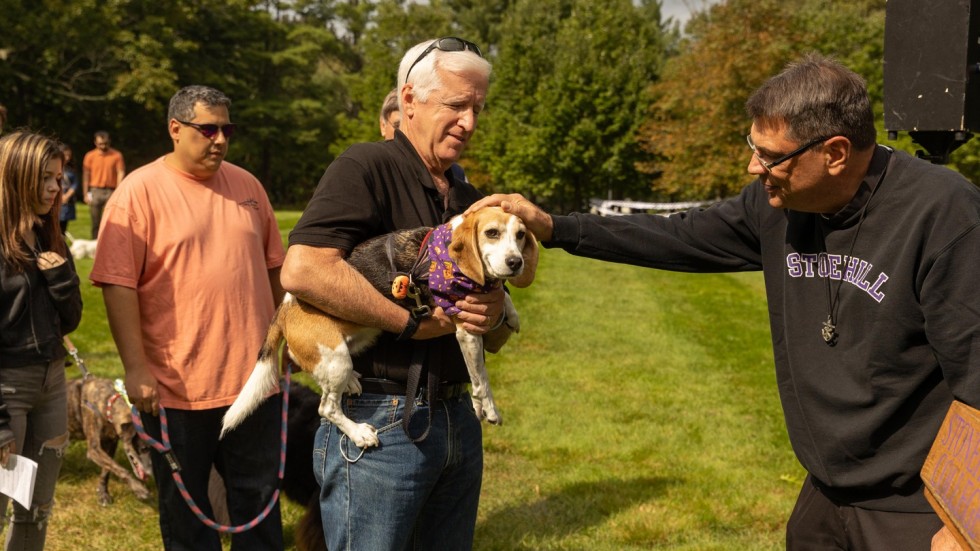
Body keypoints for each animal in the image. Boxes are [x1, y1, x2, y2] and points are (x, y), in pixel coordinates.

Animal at [66, 378, 152, 506]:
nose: (152, 473)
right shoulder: (94, 449)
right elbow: (120, 468)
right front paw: (139, 489)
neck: (108, 403)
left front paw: (103, 494)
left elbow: (107, 470)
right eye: (144, 449)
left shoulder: (111, 443)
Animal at [222, 207, 536, 448]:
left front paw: (511, 312)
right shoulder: (467, 331)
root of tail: (286, 305)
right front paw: (490, 408)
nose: (515, 262)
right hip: (336, 359)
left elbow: (501, 295)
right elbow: (481, 380)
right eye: (492, 233)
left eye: (520, 235)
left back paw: (351, 382)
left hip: (358, 337)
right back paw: (358, 432)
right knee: (326, 407)